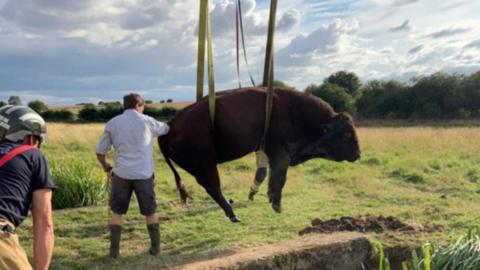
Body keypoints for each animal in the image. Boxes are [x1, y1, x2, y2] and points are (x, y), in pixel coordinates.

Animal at [158, 87, 360, 223]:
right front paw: (277, 205)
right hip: (207, 166)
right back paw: (234, 215)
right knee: (214, 188)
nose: (358, 154)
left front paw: (270, 198)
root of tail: (169, 126)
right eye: (347, 134)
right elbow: (280, 177)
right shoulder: (280, 153)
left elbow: (270, 176)